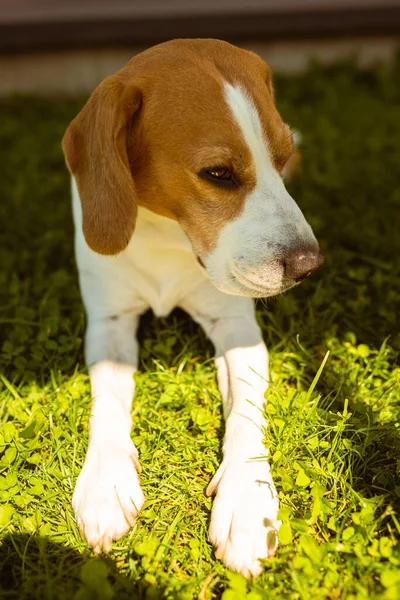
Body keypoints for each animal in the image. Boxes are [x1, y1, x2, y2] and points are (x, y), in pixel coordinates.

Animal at [63, 38, 324, 576]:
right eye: (218, 174)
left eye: (283, 157)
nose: (309, 265)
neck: (168, 234)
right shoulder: (109, 322)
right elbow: (108, 403)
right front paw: (104, 482)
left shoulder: (237, 327)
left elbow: (246, 413)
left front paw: (247, 502)